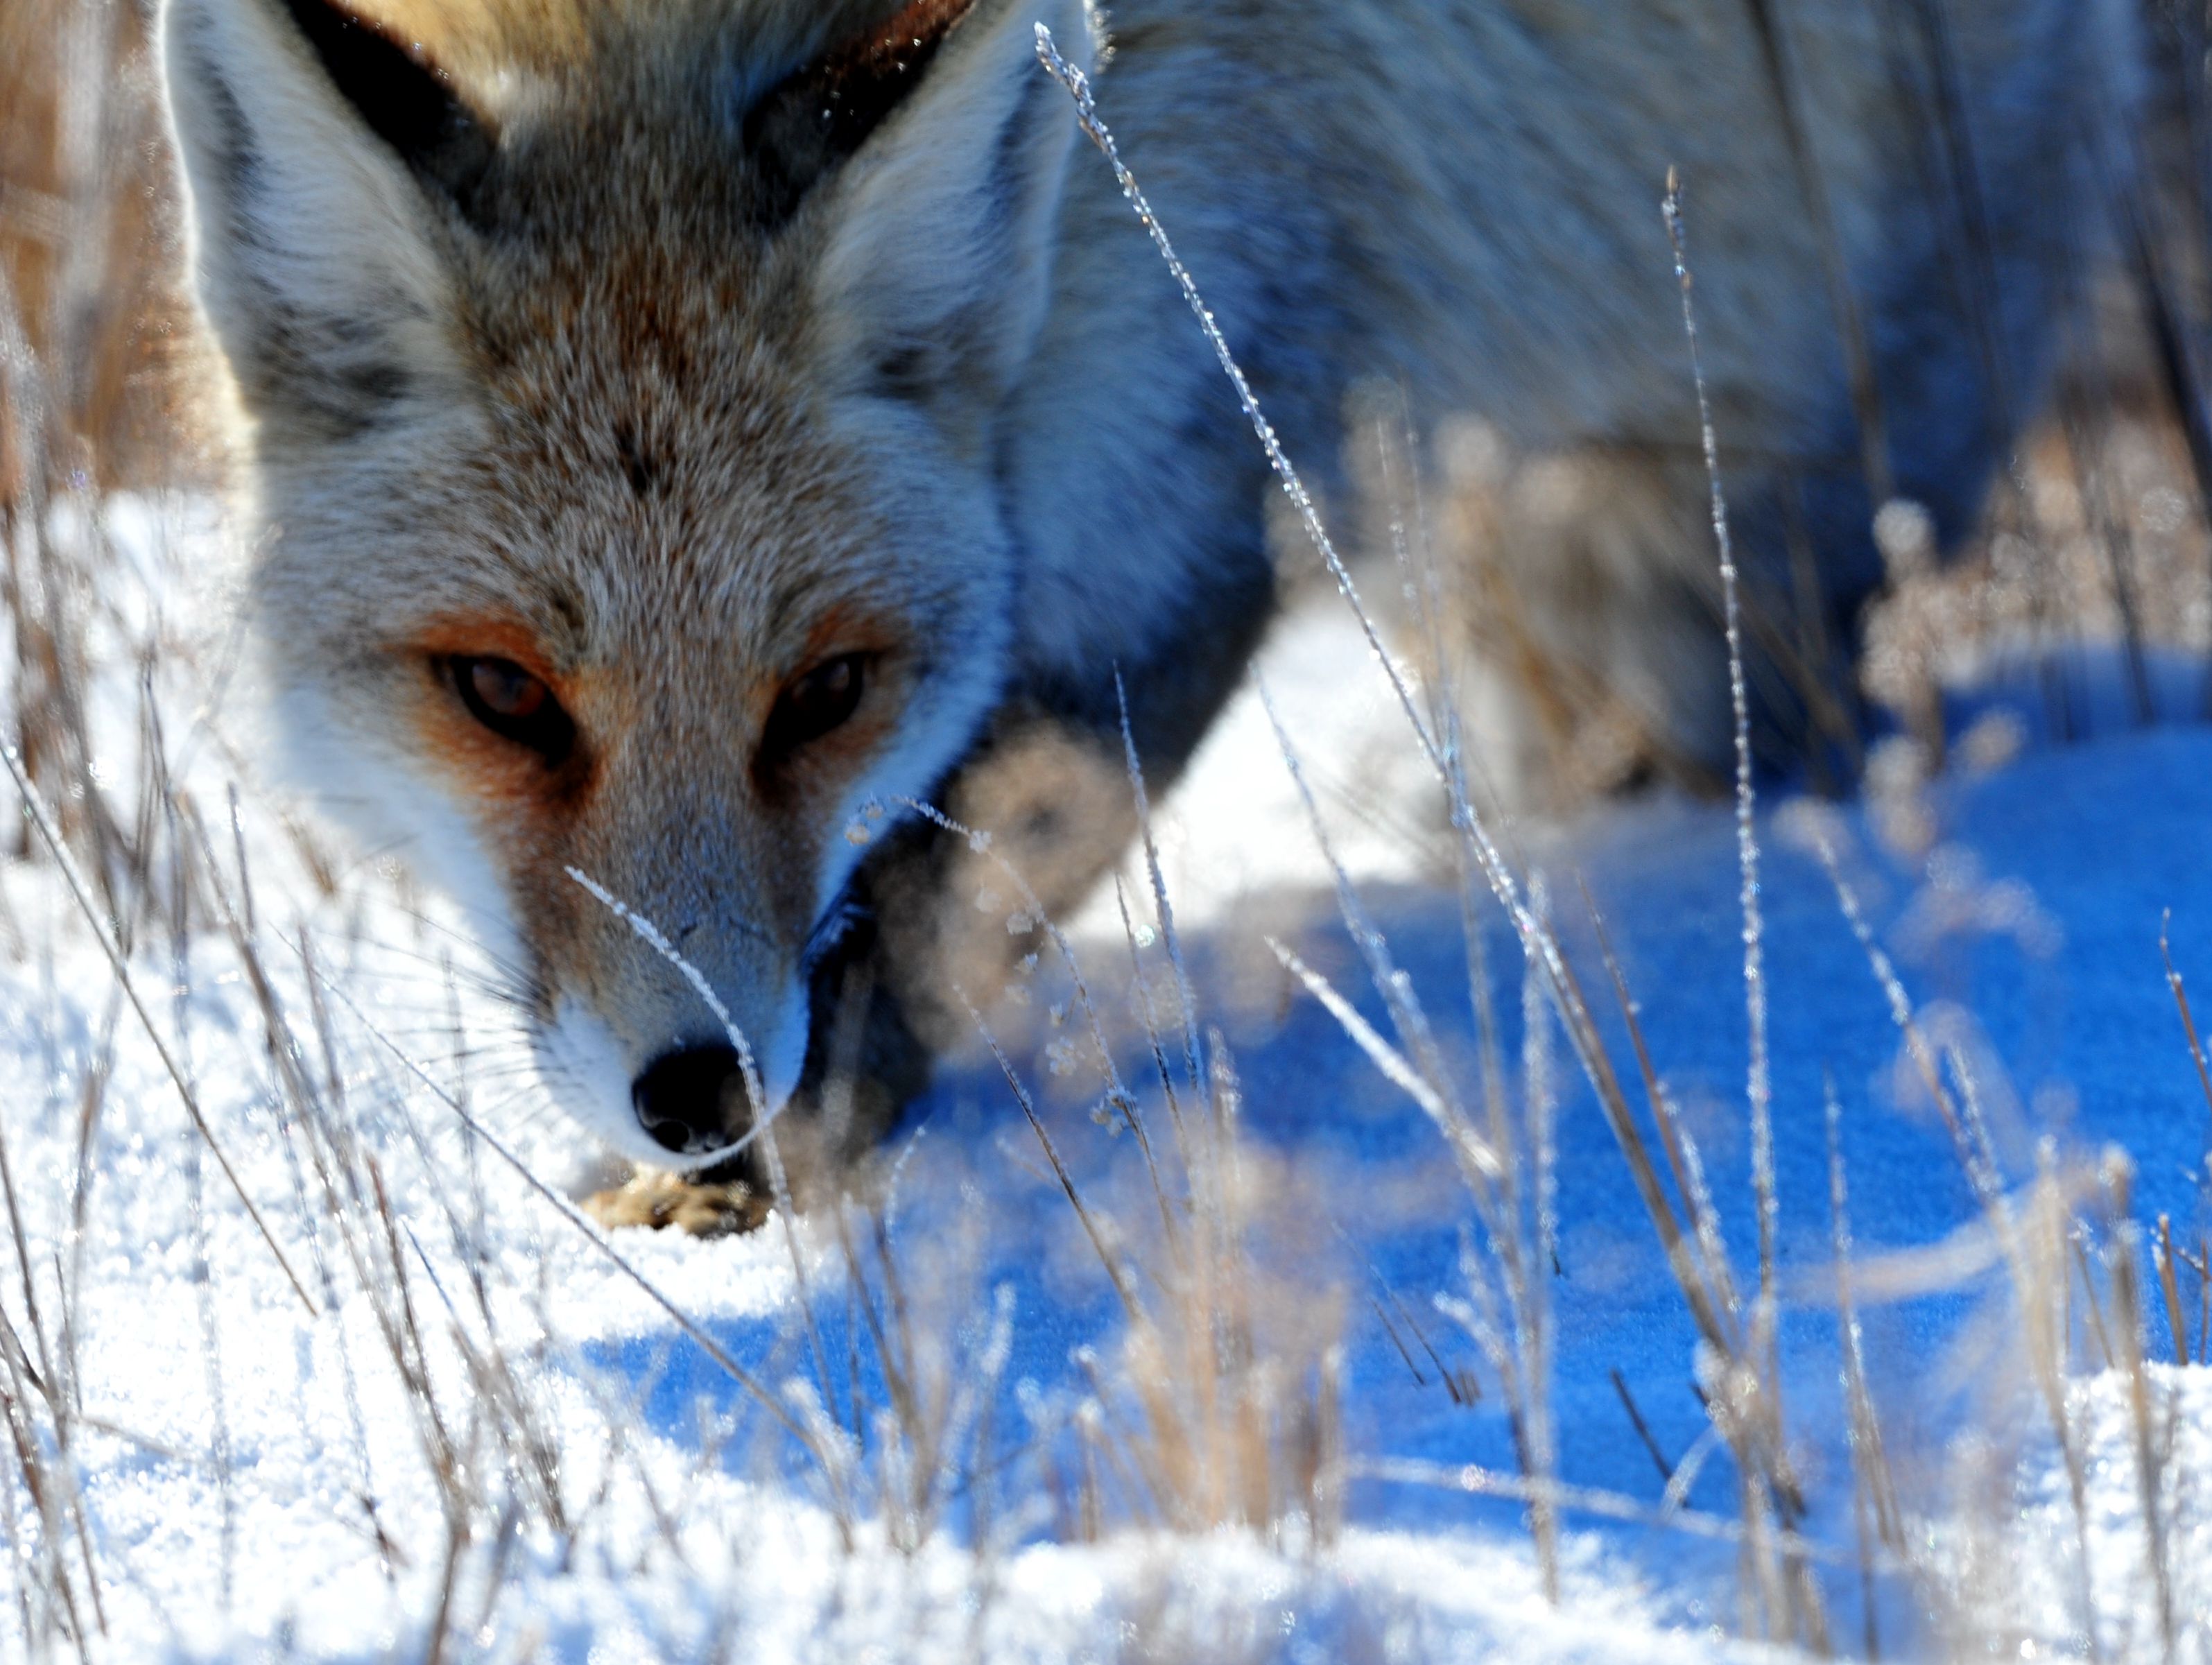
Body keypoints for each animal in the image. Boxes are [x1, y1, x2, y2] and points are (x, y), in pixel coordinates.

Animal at [142, 0, 2141, 1193]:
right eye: (500, 695)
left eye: (825, 693)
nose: (698, 1095)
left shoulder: (1183, 444)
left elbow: (962, 884)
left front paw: (819, 1147)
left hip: (1750, 505)